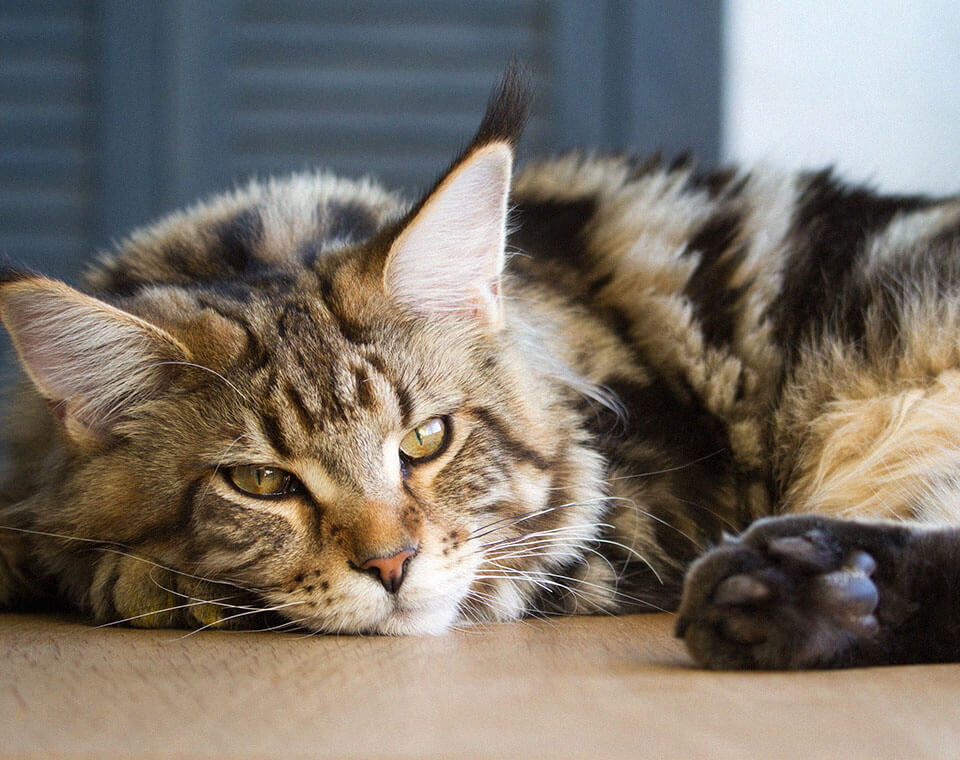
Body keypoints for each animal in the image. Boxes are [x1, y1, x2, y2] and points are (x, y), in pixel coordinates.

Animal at [1, 65, 960, 668]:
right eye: (261, 483)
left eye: (427, 439)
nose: (392, 566)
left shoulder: (632, 515)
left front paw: (141, 579)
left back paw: (779, 585)